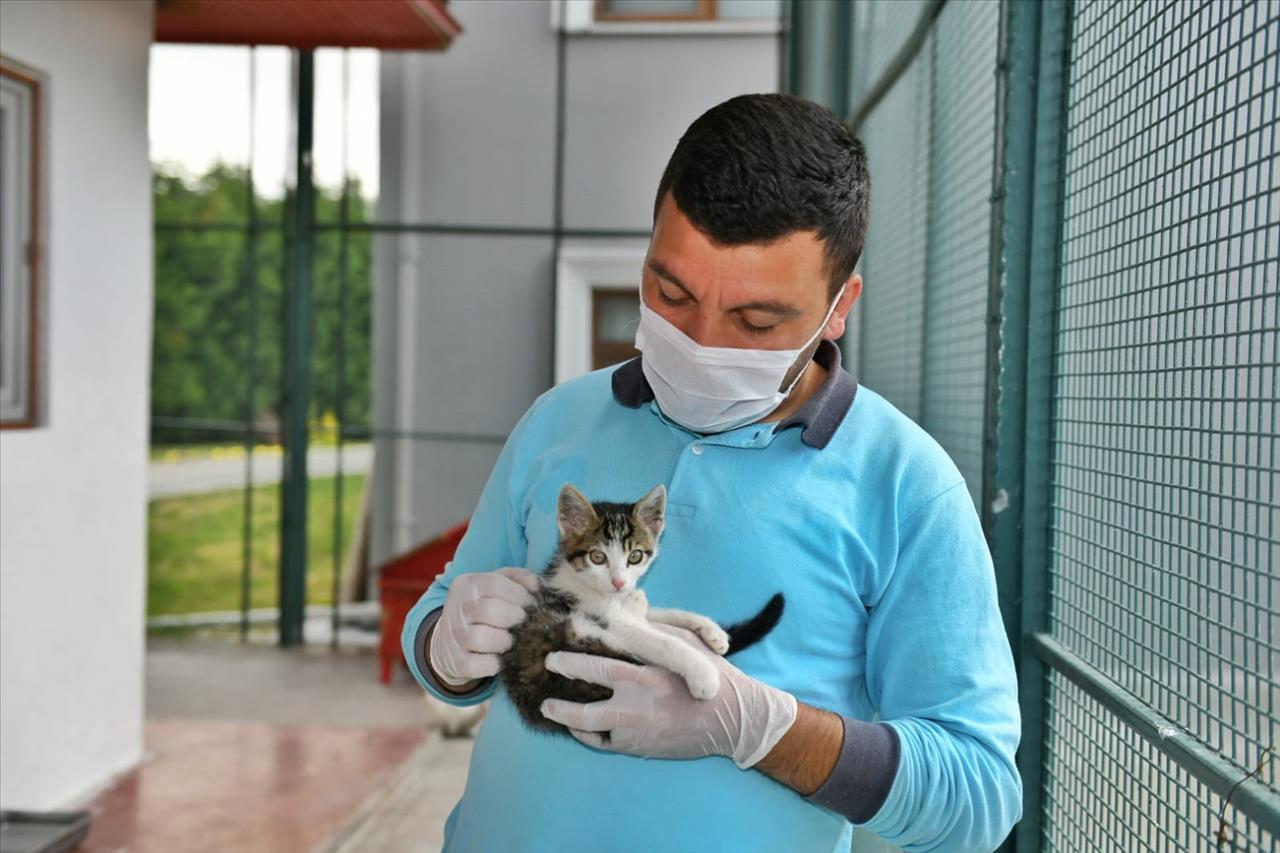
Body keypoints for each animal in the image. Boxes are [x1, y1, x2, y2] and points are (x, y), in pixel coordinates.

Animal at [496, 481, 778, 732]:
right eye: (597, 557)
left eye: (635, 556)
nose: (619, 582)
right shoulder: (605, 620)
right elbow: (663, 642)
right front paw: (704, 673)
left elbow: (666, 614)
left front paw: (712, 631)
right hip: (580, 635)